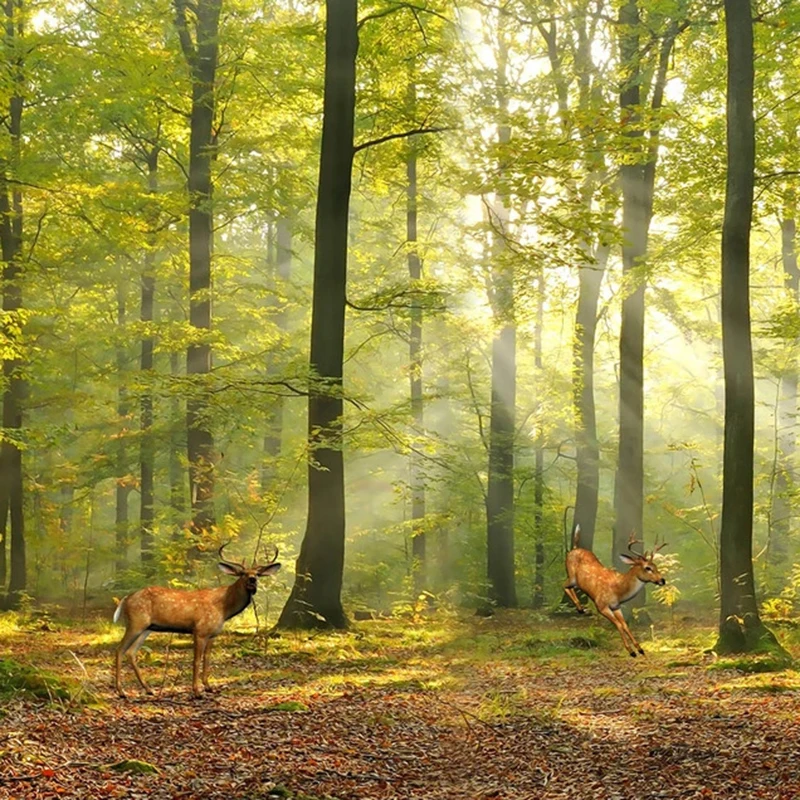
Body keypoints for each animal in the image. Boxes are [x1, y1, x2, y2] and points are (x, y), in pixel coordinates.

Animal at [113, 544, 281, 698]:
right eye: (243, 574)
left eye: (258, 574)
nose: (252, 580)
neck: (224, 608)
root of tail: (125, 599)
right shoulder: (199, 630)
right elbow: (196, 660)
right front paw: (197, 691)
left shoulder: (212, 634)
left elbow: (207, 660)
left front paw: (209, 687)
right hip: (135, 623)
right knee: (120, 649)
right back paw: (121, 692)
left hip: (147, 628)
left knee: (131, 652)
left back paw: (149, 689)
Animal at [563, 526, 666, 657]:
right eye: (647, 568)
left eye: (656, 566)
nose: (662, 580)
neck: (618, 590)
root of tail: (574, 549)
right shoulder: (601, 606)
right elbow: (618, 624)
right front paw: (631, 651)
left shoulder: (616, 606)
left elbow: (625, 625)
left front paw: (640, 649)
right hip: (572, 576)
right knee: (564, 585)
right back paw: (580, 608)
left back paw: (581, 608)